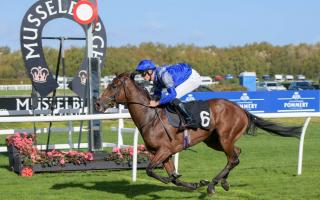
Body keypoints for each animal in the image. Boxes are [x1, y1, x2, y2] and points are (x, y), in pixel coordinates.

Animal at [95, 72, 300, 195]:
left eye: (114, 85)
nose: (98, 103)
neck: (150, 116)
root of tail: (241, 109)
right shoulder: (162, 153)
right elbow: (169, 176)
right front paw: (192, 183)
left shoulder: (165, 149)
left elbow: (151, 170)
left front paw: (182, 179)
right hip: (214, 141)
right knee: (237, 154)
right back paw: (223, 182)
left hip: (225, 137)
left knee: (233, 158)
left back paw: (212, 184)